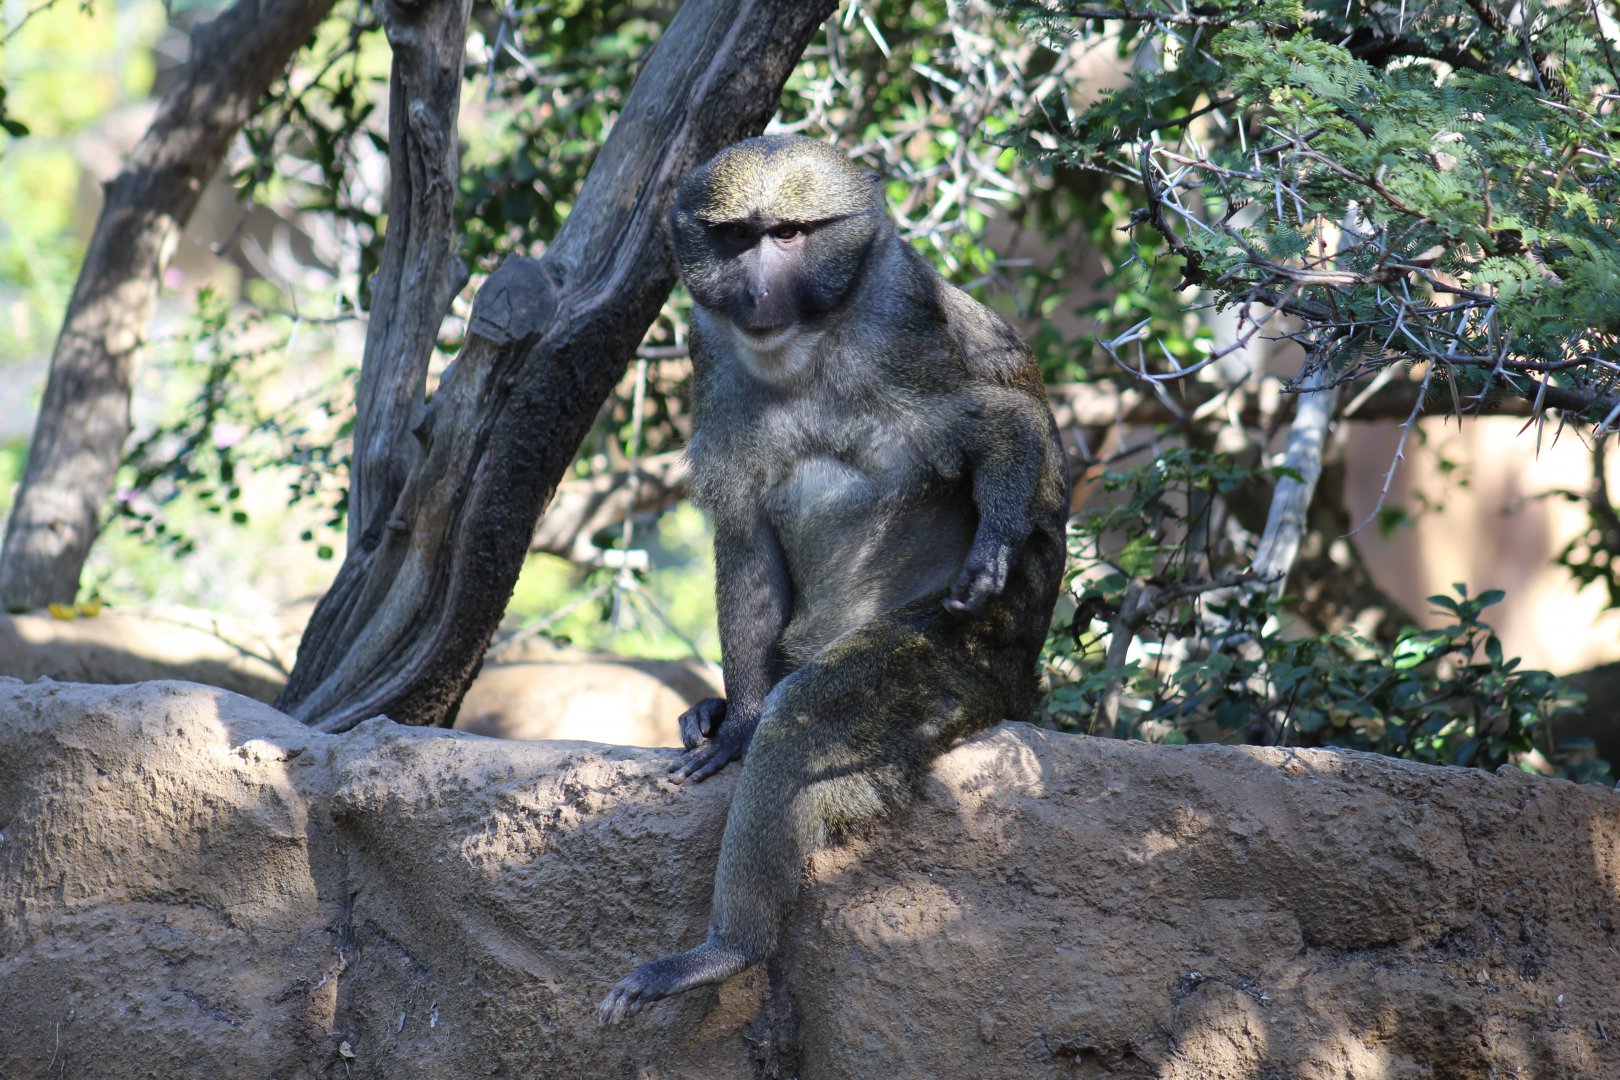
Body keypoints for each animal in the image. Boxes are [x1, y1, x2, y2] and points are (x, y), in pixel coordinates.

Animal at [597, 136, 1068, 1024]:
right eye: (737, 238)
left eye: (788, 234)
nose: (756, 291)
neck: (812, 342)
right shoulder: (714, 358)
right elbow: (745, 533)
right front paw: (738, 718)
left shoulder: (909, 331)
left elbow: (1003, 423)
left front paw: (995, 539)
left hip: (965, 665)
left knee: (813, 721)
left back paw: (729, 949)